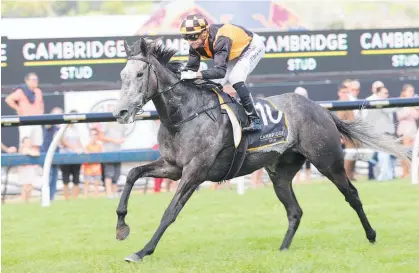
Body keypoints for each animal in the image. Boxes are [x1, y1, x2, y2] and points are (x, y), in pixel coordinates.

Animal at [111, 37, 410, 262]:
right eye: (122, 76)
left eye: (140, 74)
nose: (120, 112)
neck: (184, 115)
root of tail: (321, 109)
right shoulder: (172, 167)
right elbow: (132, 174)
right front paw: (121, 227)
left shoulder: (195, 171)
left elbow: (170, 211)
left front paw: (142, 251)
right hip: (280, 173)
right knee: (295, 210)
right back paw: (283, 249)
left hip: (328, 162)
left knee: (352, 195)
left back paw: (371, 235)